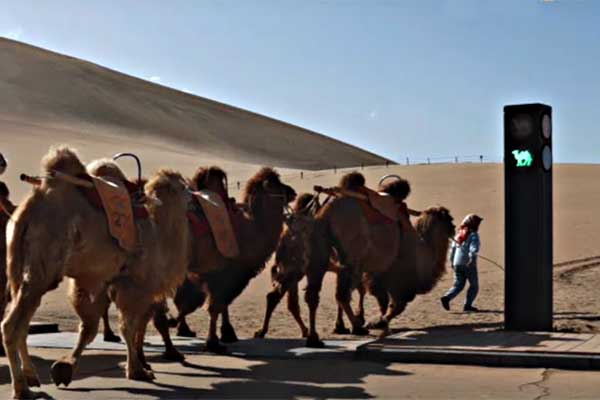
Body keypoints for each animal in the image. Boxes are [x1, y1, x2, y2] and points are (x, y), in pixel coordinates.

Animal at [0, 148, 192, 400]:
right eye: (183, 186)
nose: (194, 195)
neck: (158, 230)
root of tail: (30, 207)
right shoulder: (135, 284)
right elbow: (128, 327)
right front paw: (138, 371)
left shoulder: (99, 280)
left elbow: (90, 327)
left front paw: (64, 368)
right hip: (41, 269)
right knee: (11, 325)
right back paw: (22, 389)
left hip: (23, 269)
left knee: (23, 321)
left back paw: (32, 378)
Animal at [157, 166, 296, 354]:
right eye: (276, 184)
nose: (293, 192)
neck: (252, 229)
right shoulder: (223, 274)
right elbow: (214, 306)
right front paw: (214, 342)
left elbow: (212, 305)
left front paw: (225, 334)